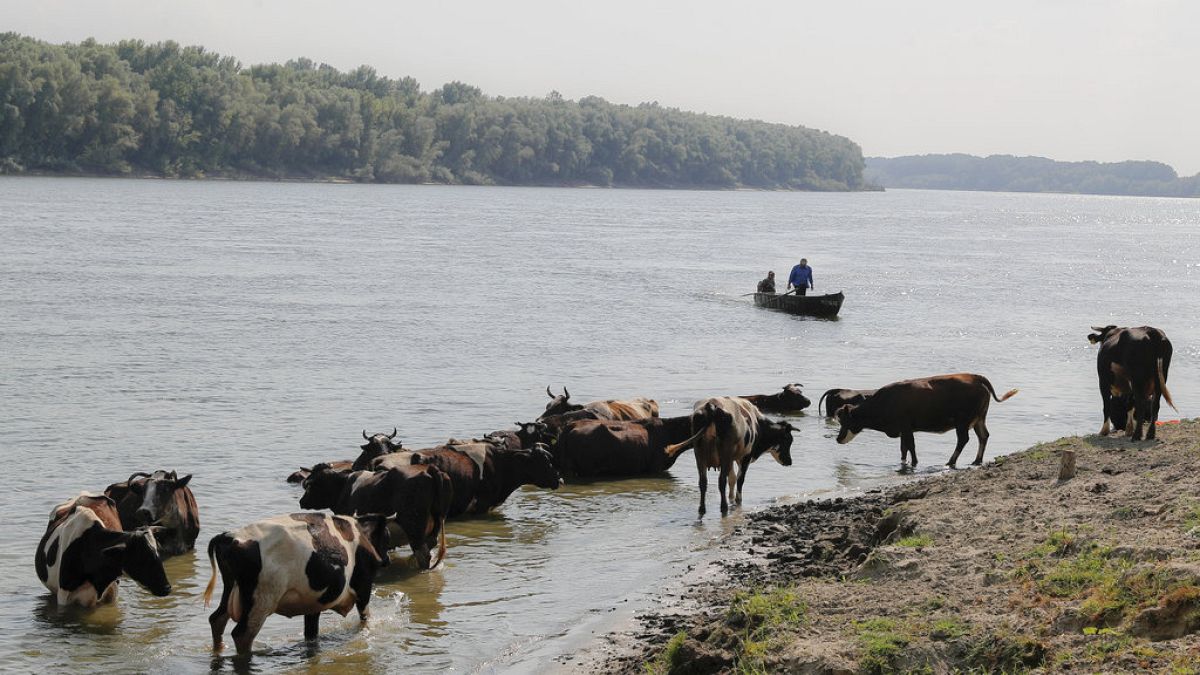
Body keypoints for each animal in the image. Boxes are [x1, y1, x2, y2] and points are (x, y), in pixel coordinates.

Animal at [202, 512, 390, 655]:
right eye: (387, 536)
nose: (387, 560)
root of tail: (229, 537)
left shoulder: (314, 604)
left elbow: (311, 634)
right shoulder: (363, 587)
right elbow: (365, 619)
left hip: (231, 590)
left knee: (216, 619)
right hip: (261, 600)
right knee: (242, 634)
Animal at [298, 463, 451, 570]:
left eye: (310, 485)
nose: (301, 501)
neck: (344, 486)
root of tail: (429, 469)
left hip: (414, 527)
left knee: (423, 554)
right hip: (435, 525)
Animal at [664, 397, 796, 516]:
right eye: (788, 440)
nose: (789, 461)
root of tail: (712, 405)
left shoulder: (731, 459)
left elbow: (731, 478)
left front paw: (731, 498)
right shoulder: (745, 456)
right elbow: (739, 479)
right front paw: (737, 500)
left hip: (700, 453)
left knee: (703, 482)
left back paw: (702, 509)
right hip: (724, 452)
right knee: (721, 481)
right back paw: (724, 507)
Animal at [834, 373, 1018, 468]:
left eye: (845, 422)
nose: (838, 439)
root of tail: (975, 377)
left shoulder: (906, 427)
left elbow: (911, 446)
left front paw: (914, 463)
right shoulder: (903, 429)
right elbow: (903, 448)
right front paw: (904, 462)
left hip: (962, 421)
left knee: (963, 439)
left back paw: (951, 461)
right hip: (979, 418)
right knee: (983, 436)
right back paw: (977, 460)